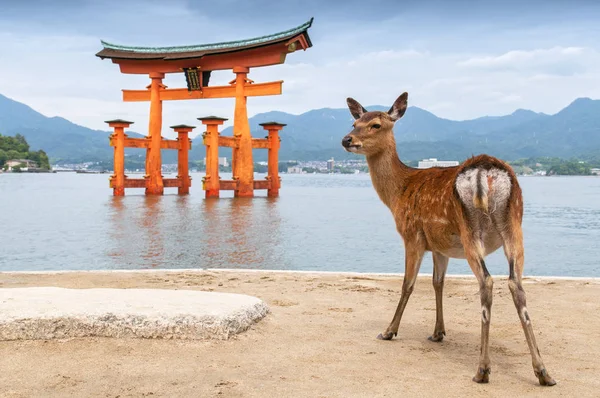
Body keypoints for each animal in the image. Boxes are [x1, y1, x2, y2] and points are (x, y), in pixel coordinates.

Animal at [340, 92, 556, 386]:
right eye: (354, 122)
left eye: (376, 124)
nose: (347, 140)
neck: (399, 193)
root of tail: (485, 173)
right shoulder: (439, 246)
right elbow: (437, 283)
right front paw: (438, 332)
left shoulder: (412, 235)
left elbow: (408, 285)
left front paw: (389, 331)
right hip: (515, 225)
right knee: (516, 284)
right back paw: (543, 372)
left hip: (470, 230)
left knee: (487, 282)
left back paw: (483, 370)